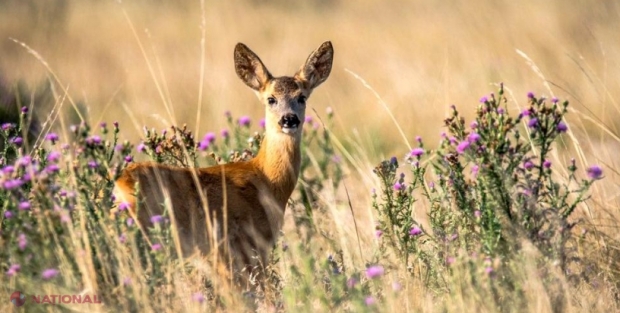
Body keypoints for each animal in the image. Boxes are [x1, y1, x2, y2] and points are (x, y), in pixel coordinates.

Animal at [113, 40, 332, 276]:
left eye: (302, 97)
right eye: (271, 99)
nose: (289, 119)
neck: (266, 179)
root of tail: (120, 186)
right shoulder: (243, 247)